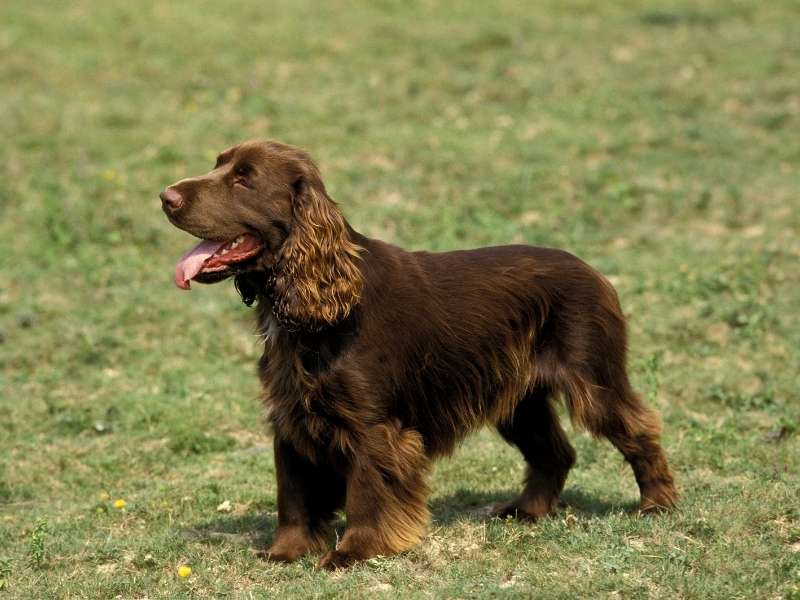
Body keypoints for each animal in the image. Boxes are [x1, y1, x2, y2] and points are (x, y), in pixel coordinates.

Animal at [161, 138, 676, 568]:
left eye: (244, 178)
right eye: (218, 164)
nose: (166, 196)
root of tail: (596, 273)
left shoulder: (373, 426)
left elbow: (365, 492)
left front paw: (353, 553)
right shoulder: (290, 415)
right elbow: (293, 493)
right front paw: (285, 553)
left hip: (593, 377)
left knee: (639, 429)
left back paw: (657, 505)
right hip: (517, 399)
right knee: (555, 452)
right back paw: (525, 511)